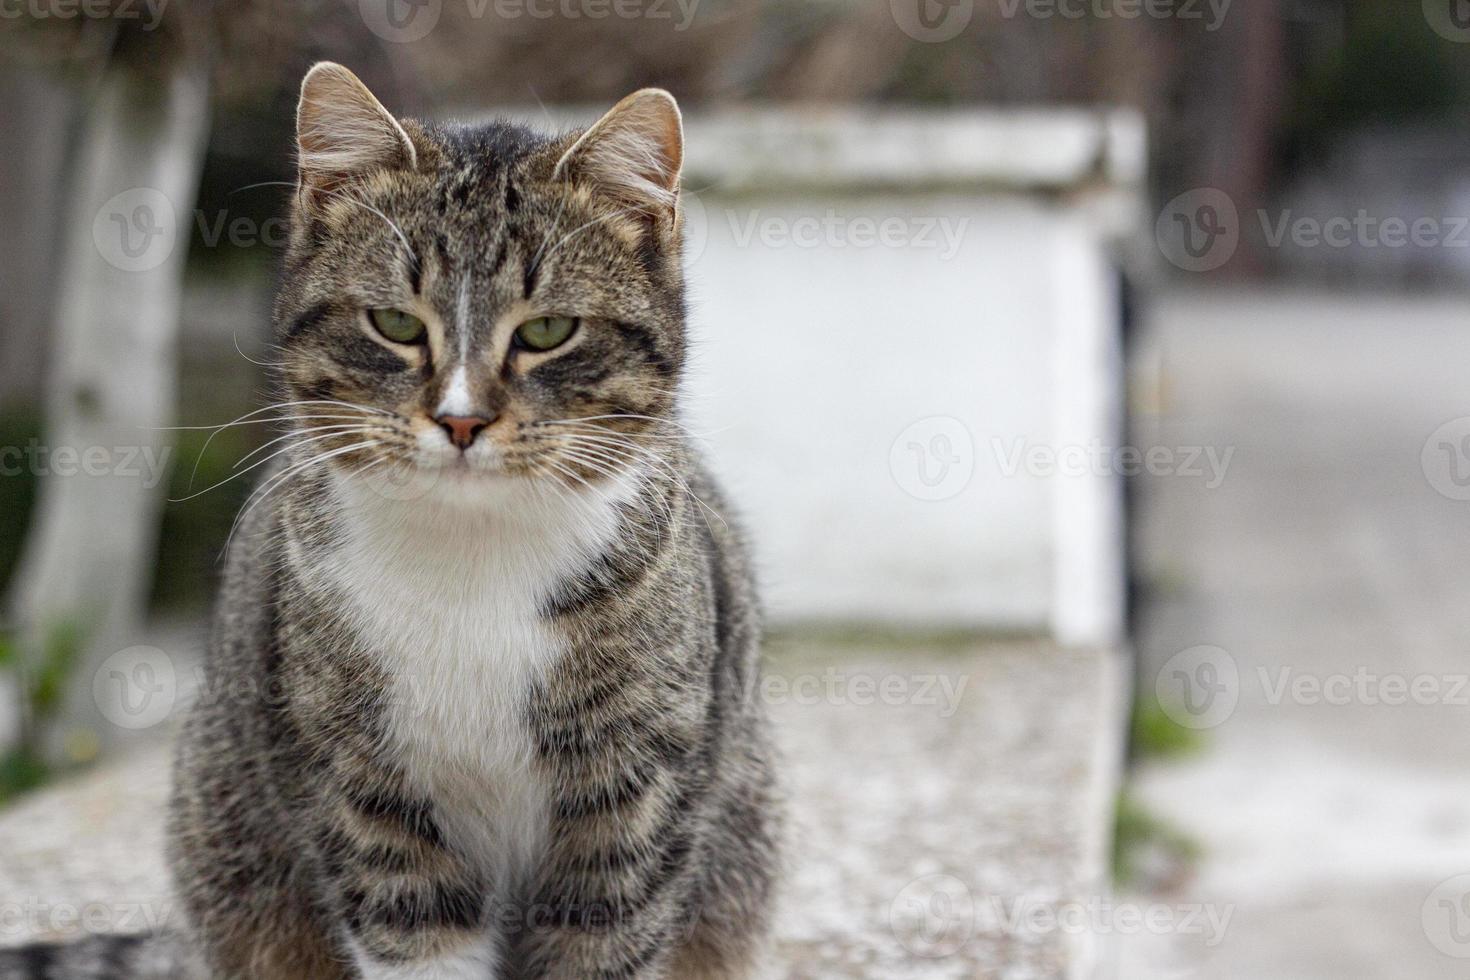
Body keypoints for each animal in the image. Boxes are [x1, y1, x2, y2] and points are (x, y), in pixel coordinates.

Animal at [2, 63, 782, 980]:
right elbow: (414, 931)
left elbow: (605, 933)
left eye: (549, 331)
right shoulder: (363, 791)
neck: (475, 562)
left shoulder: (636, 791)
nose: (461, 420)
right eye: (397, 324)